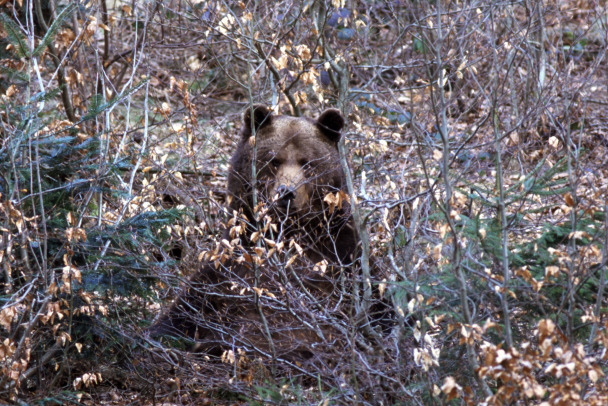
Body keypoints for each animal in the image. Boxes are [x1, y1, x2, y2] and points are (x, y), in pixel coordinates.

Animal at [150, 104, 376, 362]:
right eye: (274, 160)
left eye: (307, 163)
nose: (286, 192)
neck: (288, 234)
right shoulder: (230, 264)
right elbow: (185, 308)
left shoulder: (344, 256)